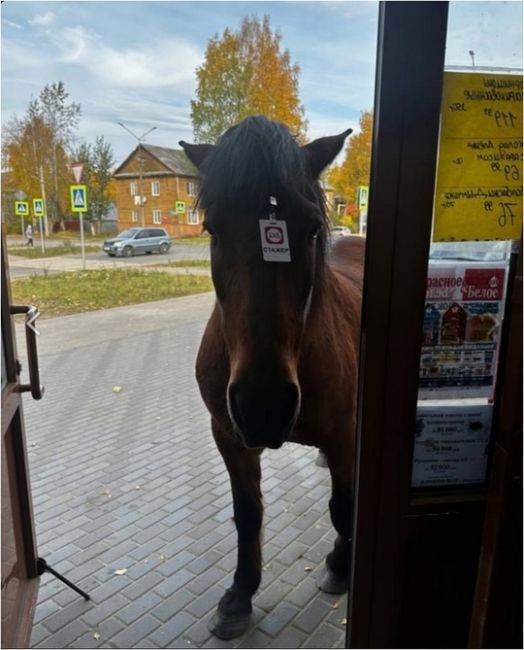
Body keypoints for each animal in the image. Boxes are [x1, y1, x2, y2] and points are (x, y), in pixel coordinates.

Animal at [180, 116, 364, 636]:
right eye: (212, 227)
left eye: (312, 228)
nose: (264, 404)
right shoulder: (228, 434)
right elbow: (248, 513)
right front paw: (240, 594)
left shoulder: (343, 434)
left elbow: (343, 508)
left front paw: (341, 565)